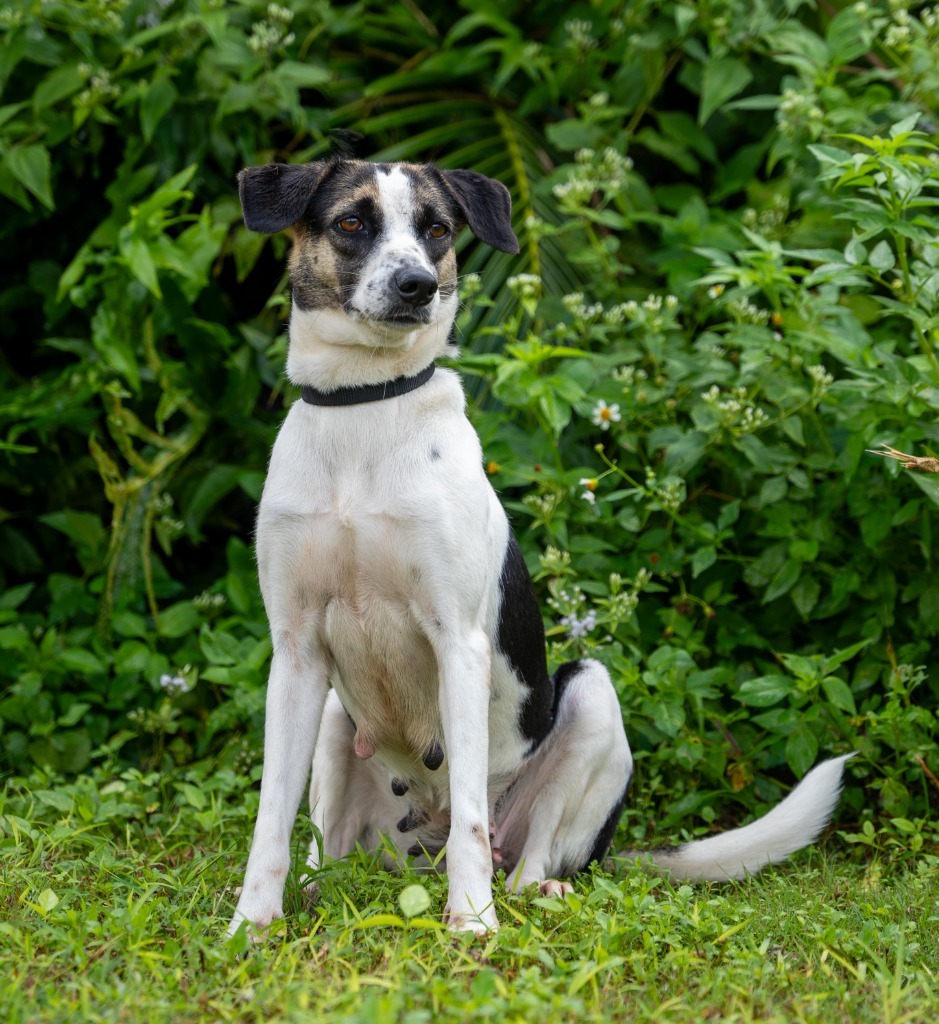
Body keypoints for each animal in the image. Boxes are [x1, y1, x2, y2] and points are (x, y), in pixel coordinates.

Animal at [227, 153, 851, 937]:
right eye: (350, 222)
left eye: (436, 229)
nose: (417, 285)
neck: (367, 408)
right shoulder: (296, 650)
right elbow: (270, 819)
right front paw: (250, 927)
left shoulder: (457, 642)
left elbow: (470, 814)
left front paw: (471, 925)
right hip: (339, 722)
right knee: (324, 843)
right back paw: (315, 888)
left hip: (589, 699)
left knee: (521, 851)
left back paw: (531, 889)